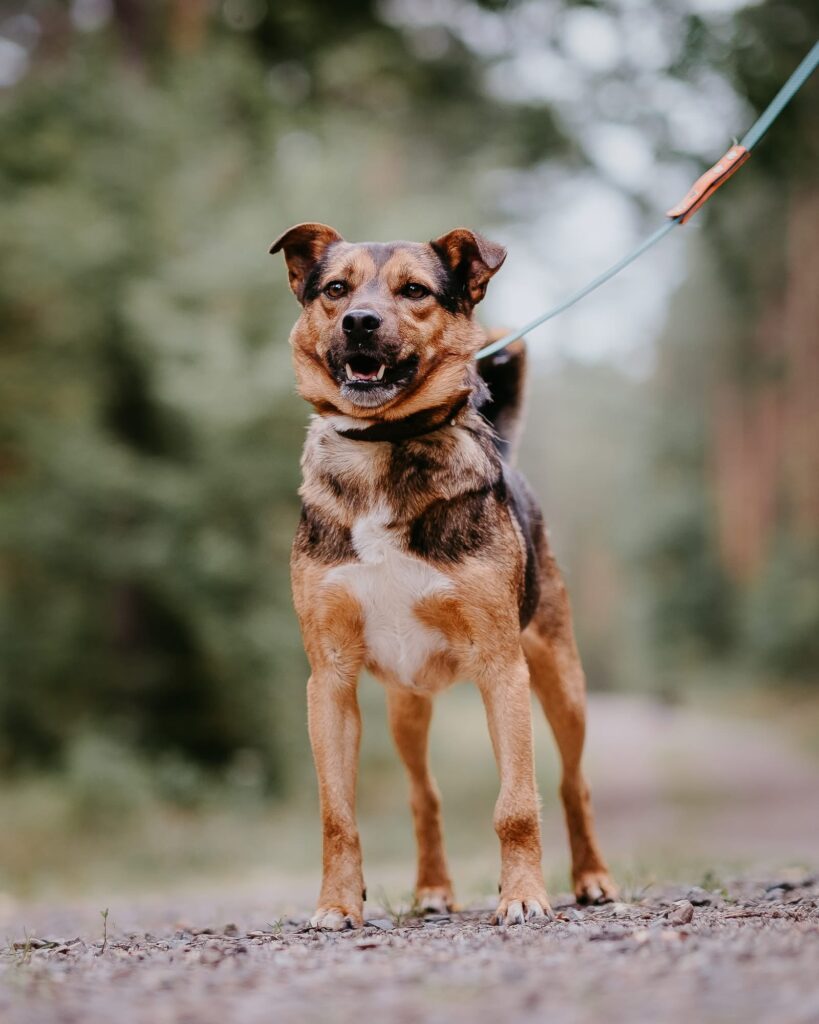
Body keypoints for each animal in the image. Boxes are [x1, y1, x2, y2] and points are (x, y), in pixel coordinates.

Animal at [271, 223, 616, 929]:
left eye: (415, 291)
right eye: (335, 289)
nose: (360, 322)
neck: (382, 447)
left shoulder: (502, 669)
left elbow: (517, 806)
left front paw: (522, 896)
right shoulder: (330, 680)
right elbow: (337, 814)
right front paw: (337, 905)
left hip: (562, 682)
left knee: (573, 782)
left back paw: (592, 878)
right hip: (406, 707)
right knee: (422, 793)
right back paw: (432, 888)